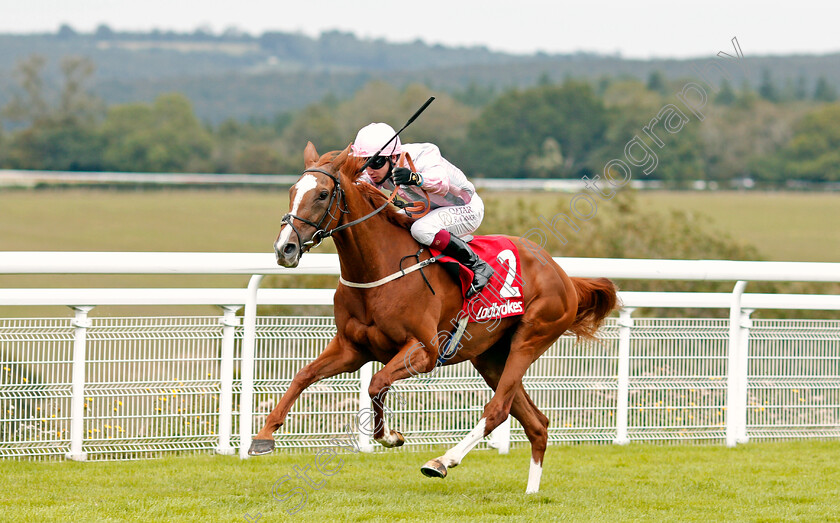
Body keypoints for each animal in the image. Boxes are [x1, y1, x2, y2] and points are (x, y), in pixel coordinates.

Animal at [249, 143, 616, 496]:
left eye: (323, 194)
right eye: (293, 190)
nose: (284, 248)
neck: (379, 268)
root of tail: (564, 275)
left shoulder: (424, 351)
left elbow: (376, 382)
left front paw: (390, 437)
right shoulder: (351, 348)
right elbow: (303, 376)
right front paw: (264, 435)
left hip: (531, 338)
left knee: (497, 409)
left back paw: (442, 461)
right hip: (491, 357)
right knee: (536, 423)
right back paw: (531, 491)